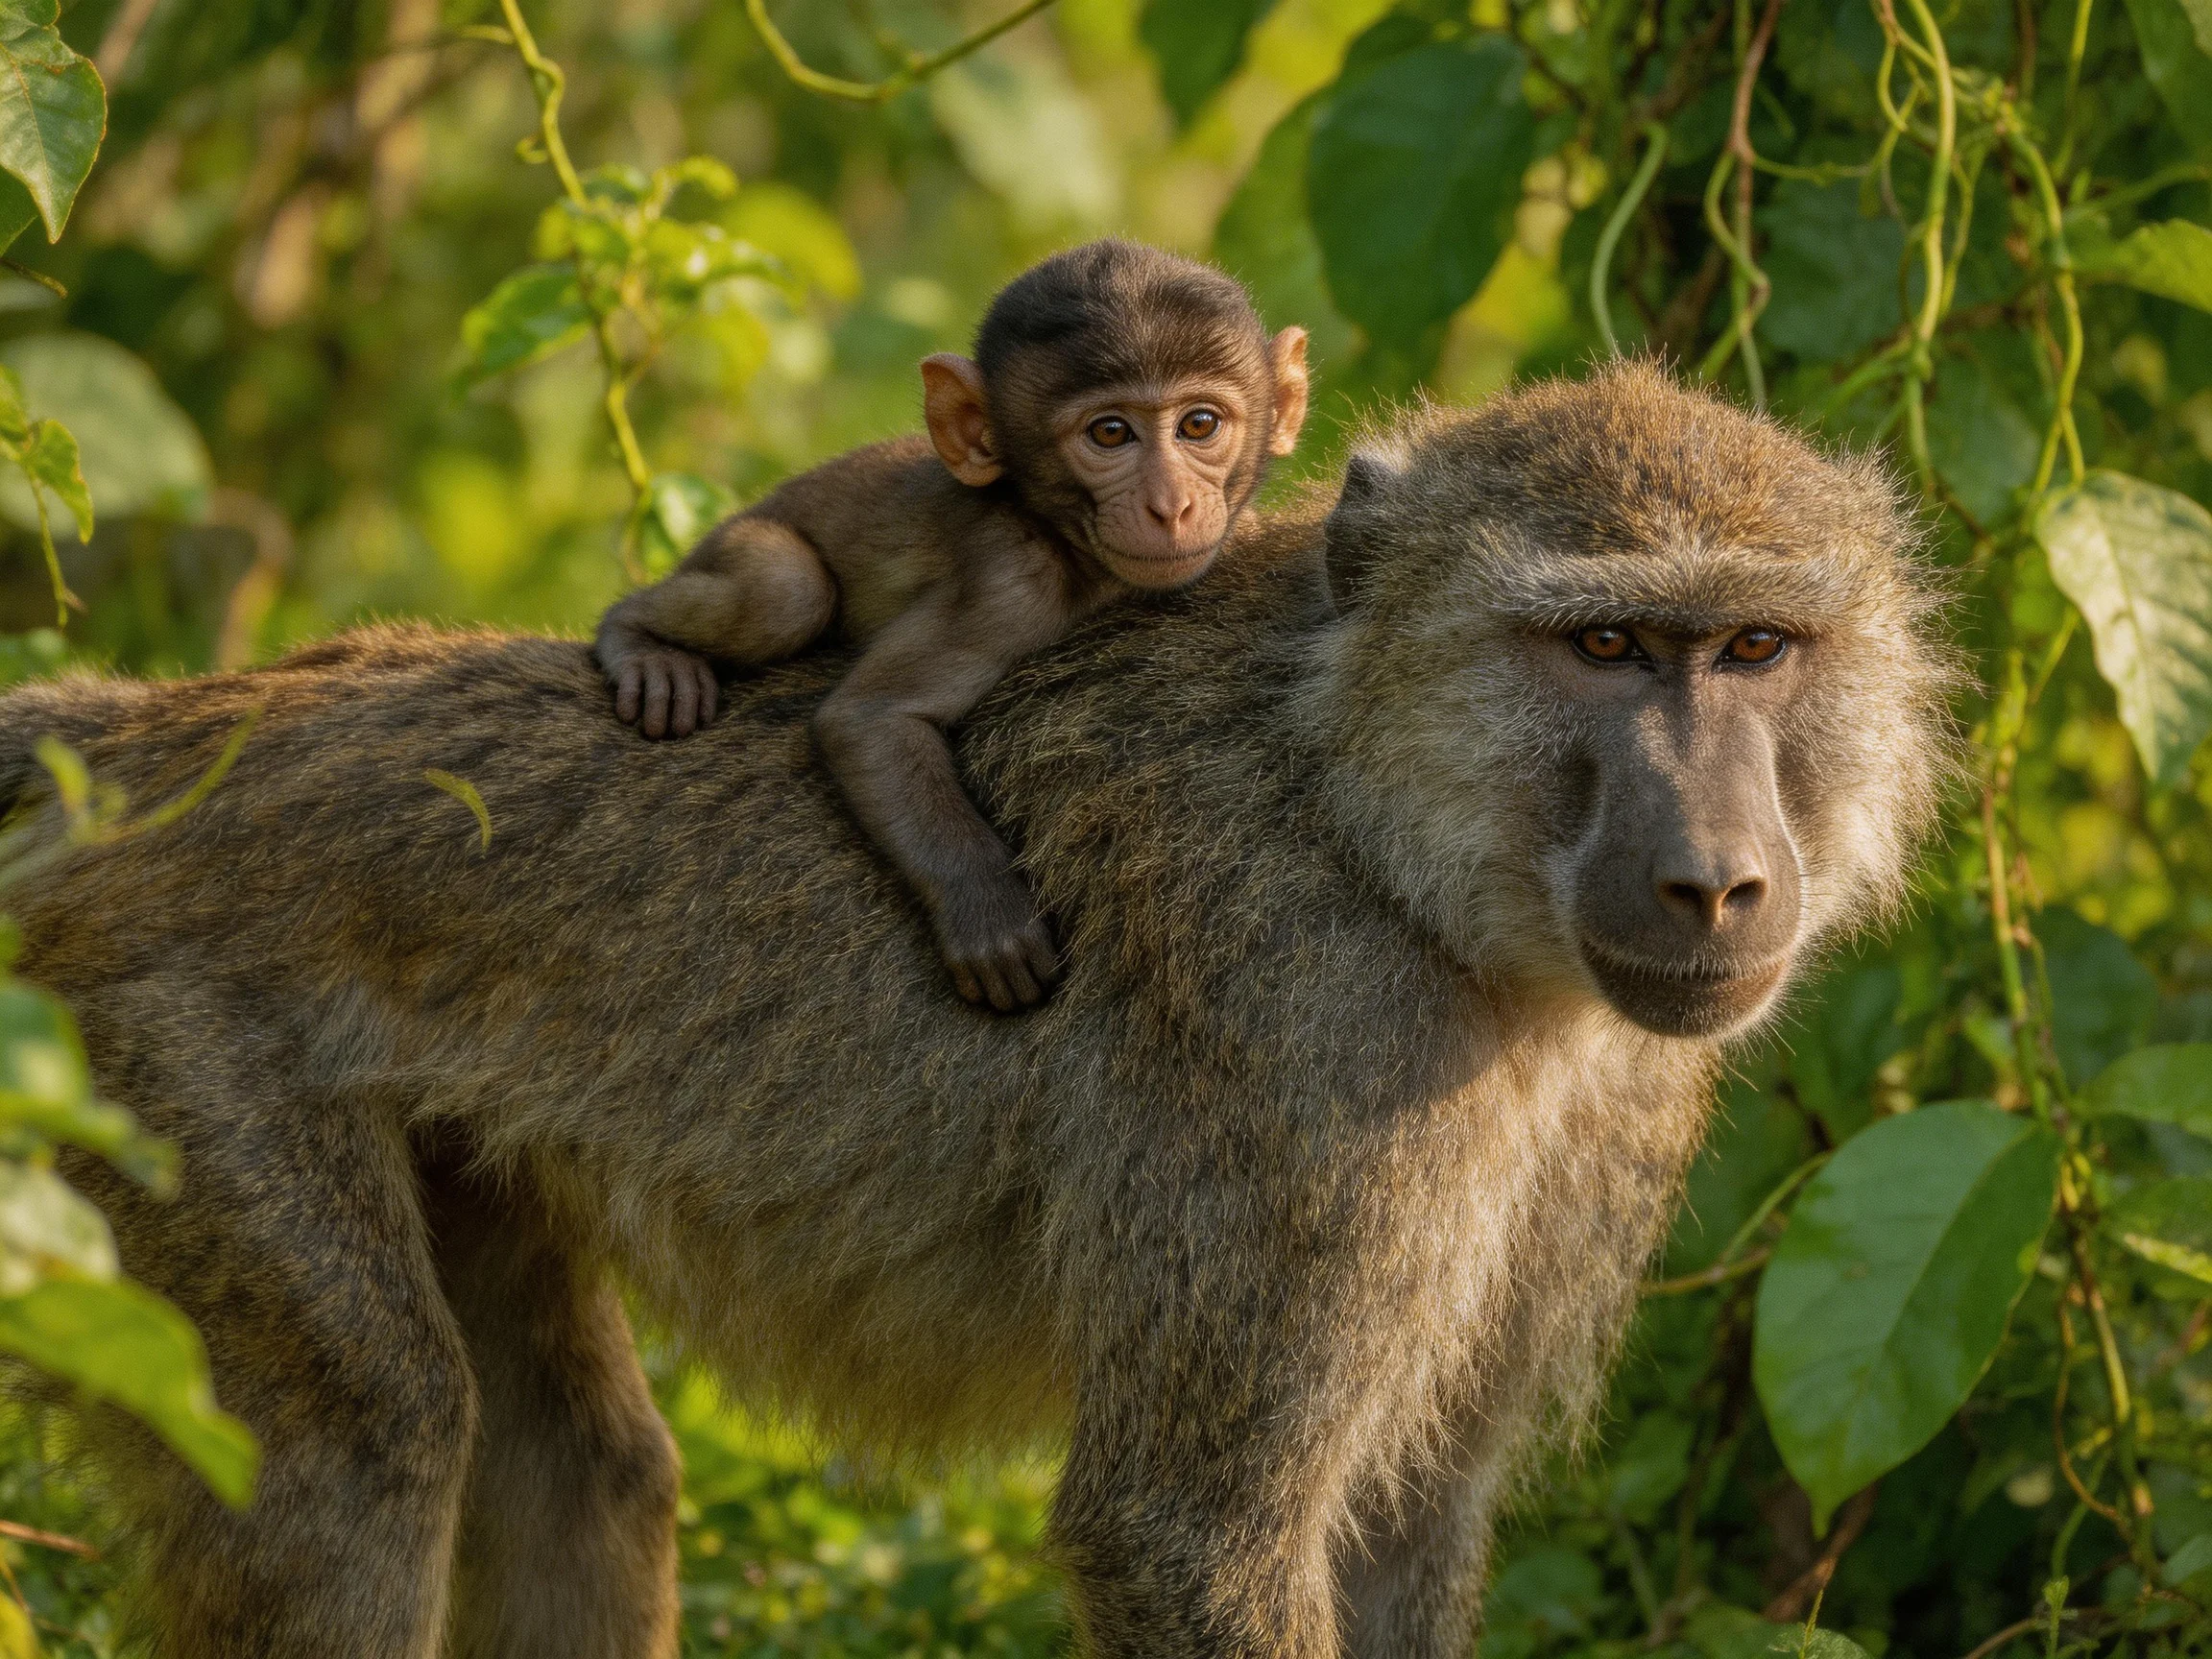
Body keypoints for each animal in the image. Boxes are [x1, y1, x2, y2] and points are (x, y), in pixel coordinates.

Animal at [0, 364, 1951, 1659]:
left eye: (1754, 649)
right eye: (1604, 647)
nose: (1714, 885)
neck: (1374, 813)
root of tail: (144, 738)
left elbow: (1408, 1521)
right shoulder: (1315, 1054)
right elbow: (1184, 1532)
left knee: (579, 1468)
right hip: (147, 1045)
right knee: (366, 1437)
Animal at [593, 238, 1311, 1011]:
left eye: (1199, 425)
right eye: (1111, 433)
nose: (1170, 505)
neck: (1058, 536)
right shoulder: (1007, 585)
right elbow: (868, 718)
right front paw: (989, 917)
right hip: (734, 548)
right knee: (785, 591)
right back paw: (637, 642)